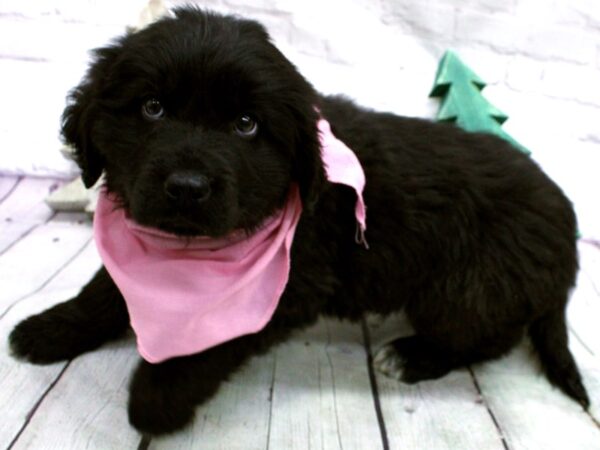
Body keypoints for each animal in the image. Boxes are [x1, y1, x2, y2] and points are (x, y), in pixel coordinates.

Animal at [10, 7, 592, 434]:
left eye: (246, 124)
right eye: (152, 108)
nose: (187, 188)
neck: (191, 254)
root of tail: (568, 230)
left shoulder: (288, 287)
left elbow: (210, 343)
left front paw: (158, 397)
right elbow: (103, 290)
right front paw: (48, 328)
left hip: (466, 289)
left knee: (486, 339)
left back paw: (412, 356)